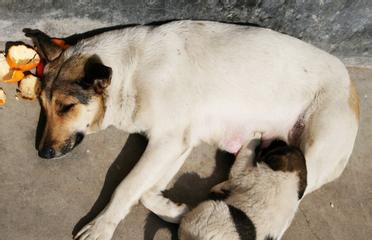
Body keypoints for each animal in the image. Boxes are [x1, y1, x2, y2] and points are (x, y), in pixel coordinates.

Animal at [22, 20, 358, 240]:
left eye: (66, 107)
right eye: (43, 105)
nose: (43, 153)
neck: (129, 75)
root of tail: (350, 84)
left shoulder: (166, 143)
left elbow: (127, 186)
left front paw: (102, 226)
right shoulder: (177, 144)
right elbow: (145, 193)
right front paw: (174, 209)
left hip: (308, 156)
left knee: (285, 194)